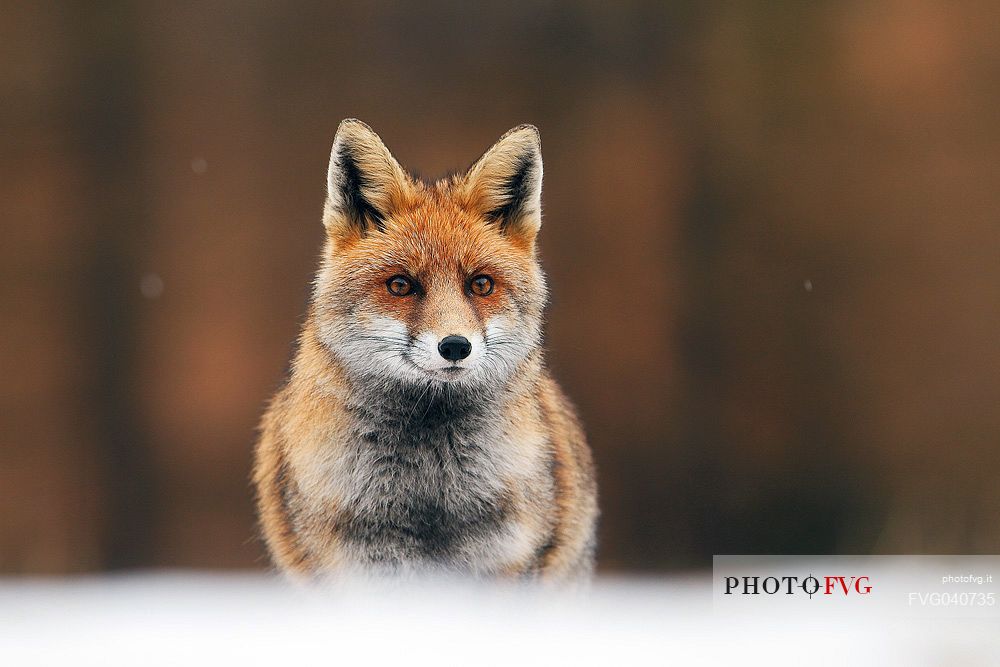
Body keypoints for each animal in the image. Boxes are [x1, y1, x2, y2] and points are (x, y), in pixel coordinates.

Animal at [254, 122, 596, 580]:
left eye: (481, 284)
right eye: (401, 285)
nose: (455, 346)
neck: (429, 489)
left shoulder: (505, 558)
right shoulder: (363, 566)